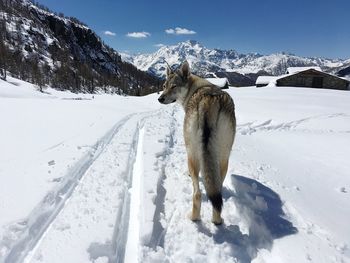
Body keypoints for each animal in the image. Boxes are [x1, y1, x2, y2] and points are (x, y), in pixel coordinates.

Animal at [159, 61, 237, 225]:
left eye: (173, 86)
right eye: (164, 85)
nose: (160, 99)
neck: (195, 89)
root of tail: (209, 100)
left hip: (191, 155)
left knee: (197, 194)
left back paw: (193, 217)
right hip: (224, 158)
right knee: (217, 193)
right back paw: (217, 221)